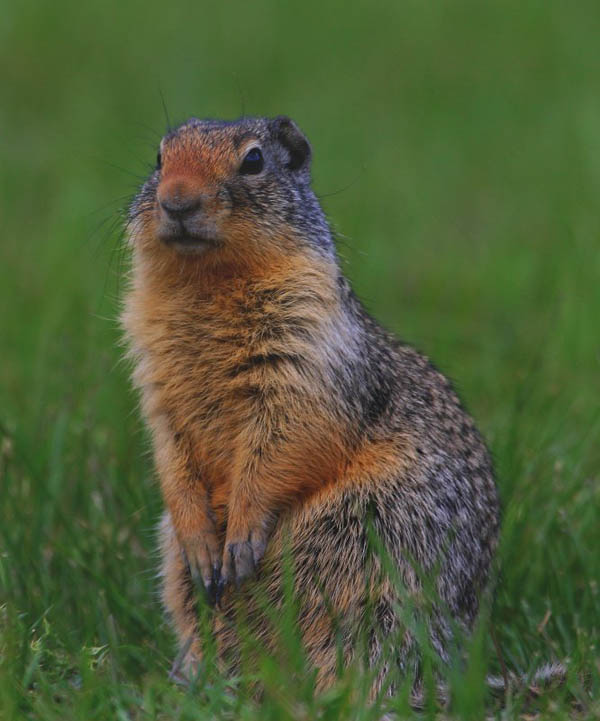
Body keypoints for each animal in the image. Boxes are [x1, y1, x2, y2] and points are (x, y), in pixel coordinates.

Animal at [122, 115, 502, 696]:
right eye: (160, 158)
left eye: (254, 160)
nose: (176, 200)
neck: (208, 281)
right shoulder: (156, 381)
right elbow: (169, 451)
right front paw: (203, 543)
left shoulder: (307, 359)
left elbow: (286, 440)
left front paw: (240, 538)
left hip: (378, 571)